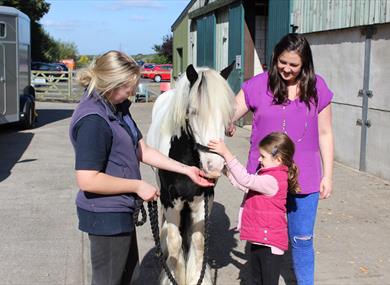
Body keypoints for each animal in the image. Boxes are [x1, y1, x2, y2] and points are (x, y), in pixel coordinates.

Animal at [145, 63, 232, 282]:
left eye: (227, 115)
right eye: (193, 111)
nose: (215, 165)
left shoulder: (203, 200)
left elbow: (198, 241)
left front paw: (197, 277)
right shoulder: (170, 200)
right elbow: (175, 243)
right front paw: (173, 277)